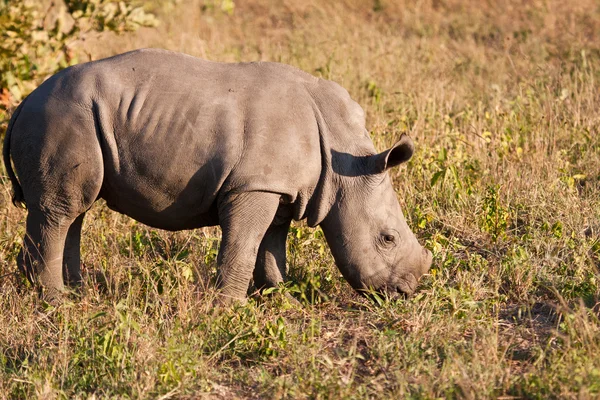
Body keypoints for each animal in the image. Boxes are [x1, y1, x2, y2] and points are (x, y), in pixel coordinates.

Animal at [1, 48, 432, 302]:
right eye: (387, 239)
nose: (406, 290)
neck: (346, 161)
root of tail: (23, 102)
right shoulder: (254, 185)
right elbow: (244, 244)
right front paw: (231, 308)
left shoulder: (277, 186)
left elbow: (272, 246)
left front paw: (281, 297)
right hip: (61, 116)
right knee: (61, 209)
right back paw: (56, 303)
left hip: (73, 118)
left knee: (74, 208)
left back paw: (78, 294)